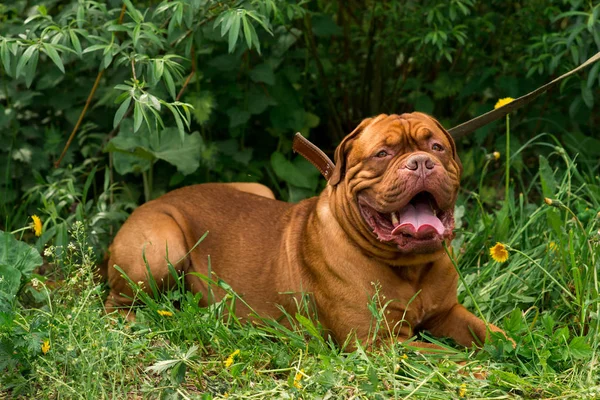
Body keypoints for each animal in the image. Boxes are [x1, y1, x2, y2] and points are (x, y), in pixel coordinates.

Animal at [105, 112, 508, 350]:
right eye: (382, 153)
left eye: (437, 147)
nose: (421, 162)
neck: (411, 266)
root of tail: (152, 201)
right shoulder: (384, 343)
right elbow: (453, 359)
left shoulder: (447, 313)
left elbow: (490, 333)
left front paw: (514, 347)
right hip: (163, 247)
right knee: (116, 302)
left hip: (258, 190)